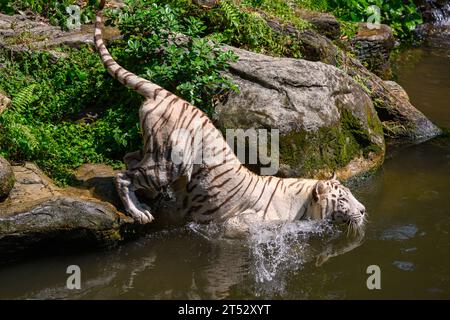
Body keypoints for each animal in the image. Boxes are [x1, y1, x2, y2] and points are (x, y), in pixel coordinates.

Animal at [94, 0, 366, 230]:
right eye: (342, 199)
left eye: (351, 195)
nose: (363, 210)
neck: (303, 203)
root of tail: (166, 94)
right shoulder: (241, 224)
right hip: (170, 160)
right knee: (123, 177)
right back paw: (140, 212)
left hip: (155, 148)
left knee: (129, 158)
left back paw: (147, 200)